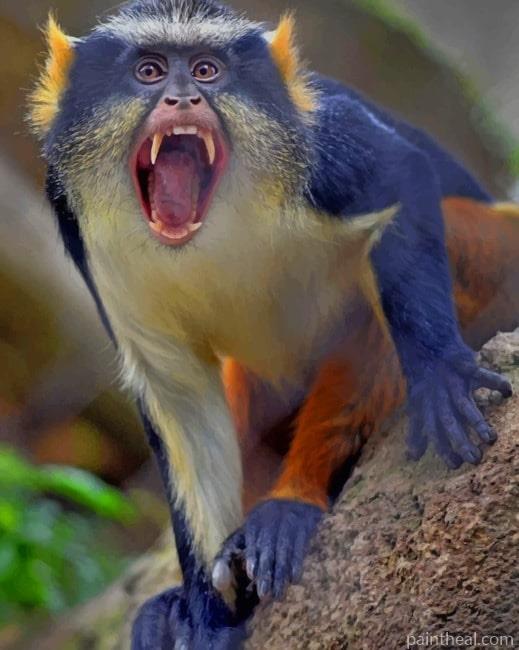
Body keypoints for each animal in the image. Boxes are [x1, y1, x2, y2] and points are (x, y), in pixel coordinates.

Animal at [29, 0, 518, 647]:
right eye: (149, 71)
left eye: (207, 71)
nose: (183, 98)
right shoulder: (80, 226)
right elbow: (175, 390)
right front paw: (208, 613)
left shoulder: (323, 142)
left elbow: (404, 175)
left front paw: (440, 371)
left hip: (497, 250)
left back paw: (291, 505)